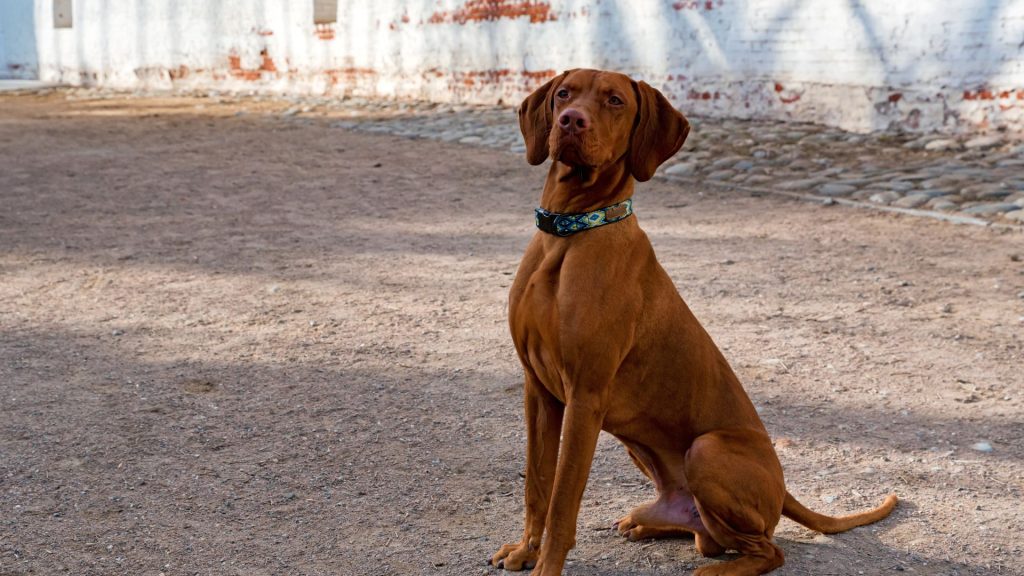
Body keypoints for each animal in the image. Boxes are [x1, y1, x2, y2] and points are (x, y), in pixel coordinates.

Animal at [487, 70, 897, 573]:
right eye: (564, 94)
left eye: (615, 101)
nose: (570, 120)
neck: (571, 231)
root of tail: (783, 489)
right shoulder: (539, 391)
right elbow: (537, 485)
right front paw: (524, 550)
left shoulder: (585, 395)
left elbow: (563, 501)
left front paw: (545, 564)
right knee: (707, 534)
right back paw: (650, 524)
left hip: (707, 449)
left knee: (767, 549)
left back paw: (716, 568)